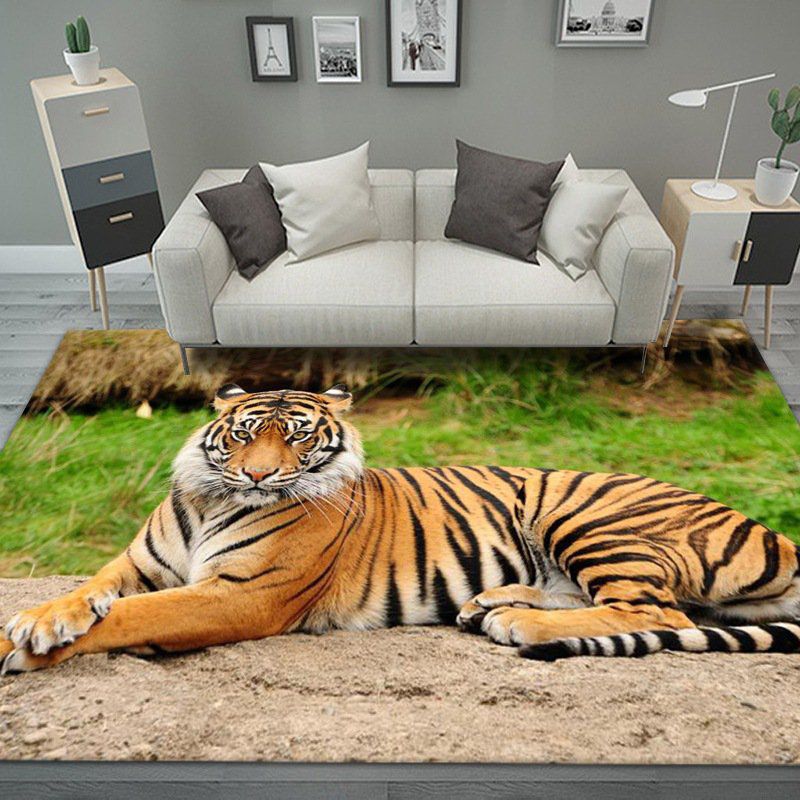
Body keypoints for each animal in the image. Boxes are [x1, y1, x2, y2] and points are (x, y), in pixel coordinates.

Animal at [2, 382, 799, 675]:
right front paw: (42, 618)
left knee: (656, 610)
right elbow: (93, 591)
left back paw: (518, 624)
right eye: (244, 435)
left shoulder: (242, 593)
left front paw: (25, 649)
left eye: (298, 437)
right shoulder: (139, 562)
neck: (211, 501)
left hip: (584, 513)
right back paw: (490, 604)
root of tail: (776, 535)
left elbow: (134, 615)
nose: (258, 477)